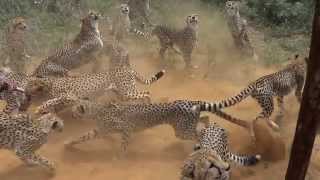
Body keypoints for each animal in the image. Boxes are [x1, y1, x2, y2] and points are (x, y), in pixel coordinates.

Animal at [65, 99, 250, 153]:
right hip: (186, 126)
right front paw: (68, 144)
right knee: (204, 118)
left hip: (182, 131)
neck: (96, 110)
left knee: (200, 132)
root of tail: (191, 101)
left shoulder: (126, 129)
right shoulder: (100, 131)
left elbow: (123, 145)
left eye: (74, 108)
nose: (71, 113)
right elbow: (83, 137)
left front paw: (118, 158)